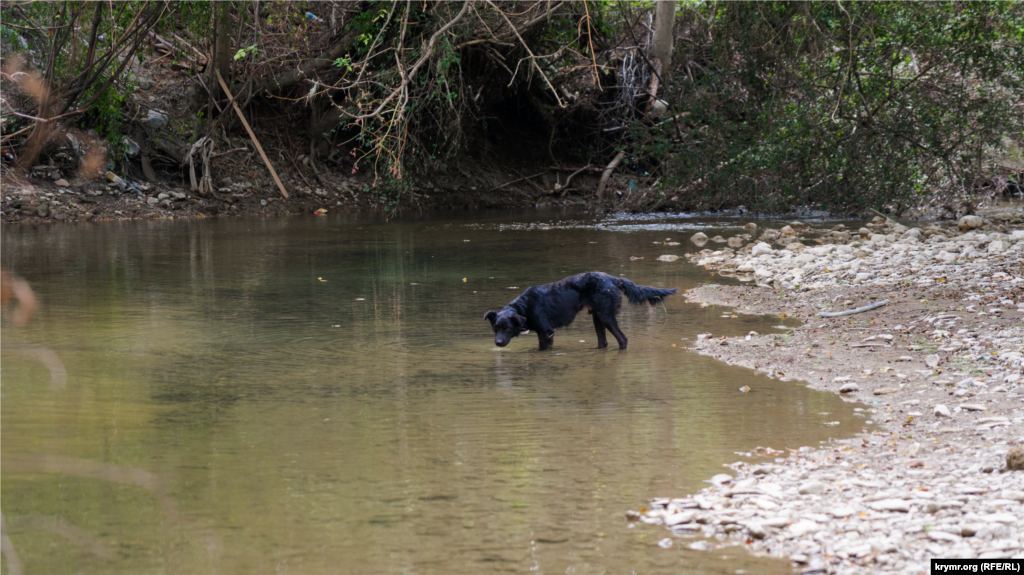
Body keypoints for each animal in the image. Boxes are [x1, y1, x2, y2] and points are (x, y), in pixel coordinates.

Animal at [483, 270, 675, 349]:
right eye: (495, 328)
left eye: (508, 328)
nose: (497, 343)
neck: (524, 307)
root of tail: (614, 279)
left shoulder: (546, 332)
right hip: (597, 317)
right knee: (603, 342)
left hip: (606, 316)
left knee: (623, 339)